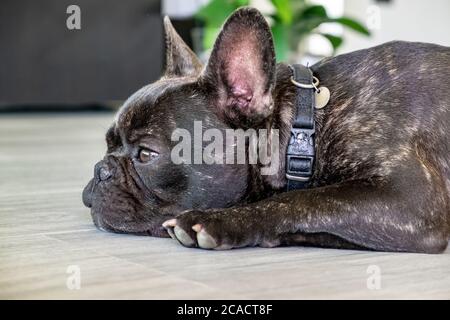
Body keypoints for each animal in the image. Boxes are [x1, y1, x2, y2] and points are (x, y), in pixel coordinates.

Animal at [82, 6, 450, 252]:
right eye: (108, 145)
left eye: (146, 155)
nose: (101, 170)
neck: (307, 126)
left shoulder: (409, 197)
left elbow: (304, 200)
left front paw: (219, 220)